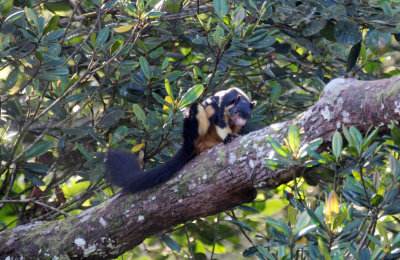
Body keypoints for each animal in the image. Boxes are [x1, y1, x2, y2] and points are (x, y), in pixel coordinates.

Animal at [105, 87, 256, 193]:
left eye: (248, 115)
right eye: (235, 111)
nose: (242, 122)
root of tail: (187, 144)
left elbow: (236, 130)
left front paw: (237, 134)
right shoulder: (222, 107)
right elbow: (221, 123)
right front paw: (228, 137)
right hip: (195, 124)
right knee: (200, 113)